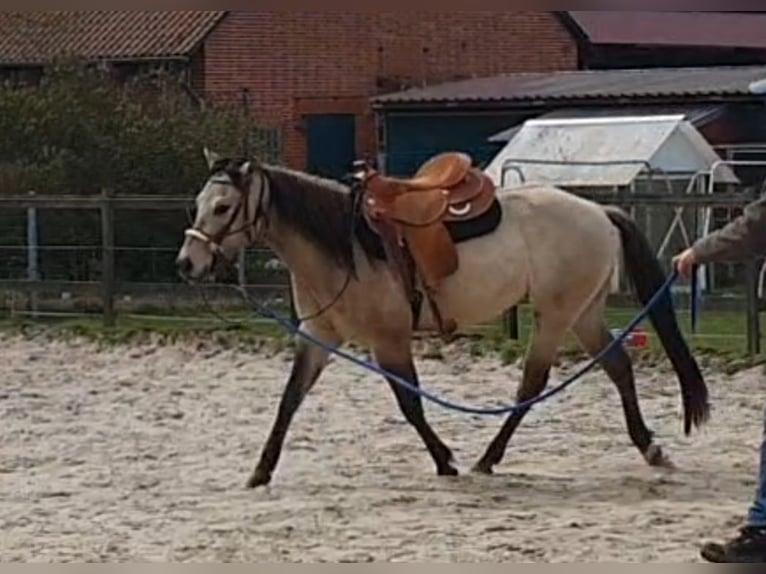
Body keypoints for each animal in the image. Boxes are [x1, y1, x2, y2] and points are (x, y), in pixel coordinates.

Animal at [175, 148, 710, 489]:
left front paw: (445, 461)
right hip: (585, 313)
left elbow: (410, 405)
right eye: (199, 204)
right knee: (619, 367)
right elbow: (289, 401)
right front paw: (260, 471)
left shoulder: (389, 341)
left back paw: (487, 458)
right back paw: (649, 448)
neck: (345, 244)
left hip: (557, 316)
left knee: (532, 384)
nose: (187, 263)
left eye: (223, 206)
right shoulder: (317, 336)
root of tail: (599, 211)